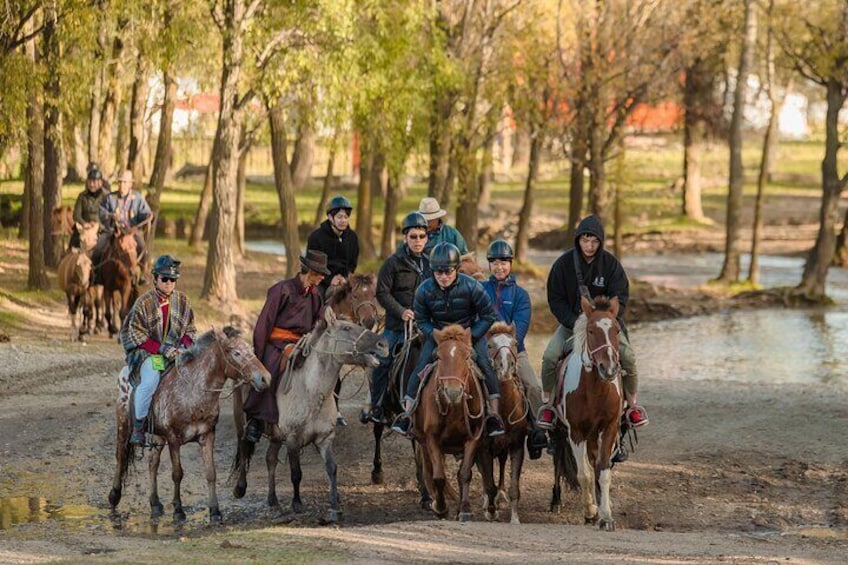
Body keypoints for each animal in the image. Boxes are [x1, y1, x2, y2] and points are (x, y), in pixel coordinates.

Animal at [107, 326, 270, 524]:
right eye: (236, 353)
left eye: (252, 350)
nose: (265, 378)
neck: (192, 393)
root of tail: (125, 372)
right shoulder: (173, 438)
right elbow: (177, 474)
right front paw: (178, 510)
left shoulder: (207, 435)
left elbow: (211, 473)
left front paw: (214, 511)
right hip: (124, 425)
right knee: (121, 456)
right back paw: (114, 496)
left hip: (158, 435)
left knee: (153, 463)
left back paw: (155, 503)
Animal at [232, 306, 390, 524]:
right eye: (347, 328)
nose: (383, 344)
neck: (312, 390)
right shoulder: (292, 439)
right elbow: (296, 473)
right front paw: (297, 504)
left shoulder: (325, 438)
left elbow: (332, 468)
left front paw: (334, 507)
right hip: (242, 421)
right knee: (243, 447)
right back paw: (240, 488)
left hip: (276, 435)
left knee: (270, 459)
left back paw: (273, 501)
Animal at [416, 322, 486, 520]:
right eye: (438, 356)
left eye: (467, 356)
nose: (453, 392)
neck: (454, 407)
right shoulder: (431, 438)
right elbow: (439, 476)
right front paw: (441, 507)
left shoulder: (473, 437)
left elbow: (464, 474)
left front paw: (465, 510)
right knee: (429, 470)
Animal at [476, 322, 528, 524]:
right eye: (490, 345)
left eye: (514, 343)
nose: (506, 366)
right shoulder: (483, 448)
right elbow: (488, 482)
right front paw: (491, 511)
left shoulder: (517, 446)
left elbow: (514, 486)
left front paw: (514, 518)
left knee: (502, 463)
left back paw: (501, 495)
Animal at [548, 294, 624, 532]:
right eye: (591, 330)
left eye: (617, 330)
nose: (608, 369)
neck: (595, 390)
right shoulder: (576, 432)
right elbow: (584, 474)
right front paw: (590, 511)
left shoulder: (609, 428)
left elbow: (602, 471)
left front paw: (606, 516)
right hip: (562, 432)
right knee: (560, 463)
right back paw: (557, 501)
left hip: (593, 436)